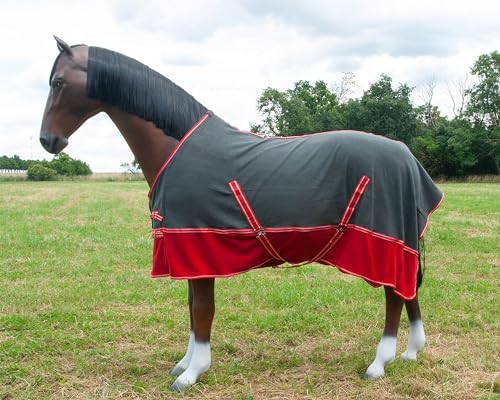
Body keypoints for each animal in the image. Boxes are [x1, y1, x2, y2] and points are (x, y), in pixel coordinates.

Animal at [40, 36, 446, 392]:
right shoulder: (189, 252)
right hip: (401, 244)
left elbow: (203, 310)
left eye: (58, 82)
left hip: (385, 244)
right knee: (408, 293)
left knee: (394, 298)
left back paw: (378, 364)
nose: (48, 141)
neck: (176, 146)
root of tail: (407, 157)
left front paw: (192, 374)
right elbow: (192, 310)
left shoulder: (197, 246)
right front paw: (185, 364)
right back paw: (411, 353)